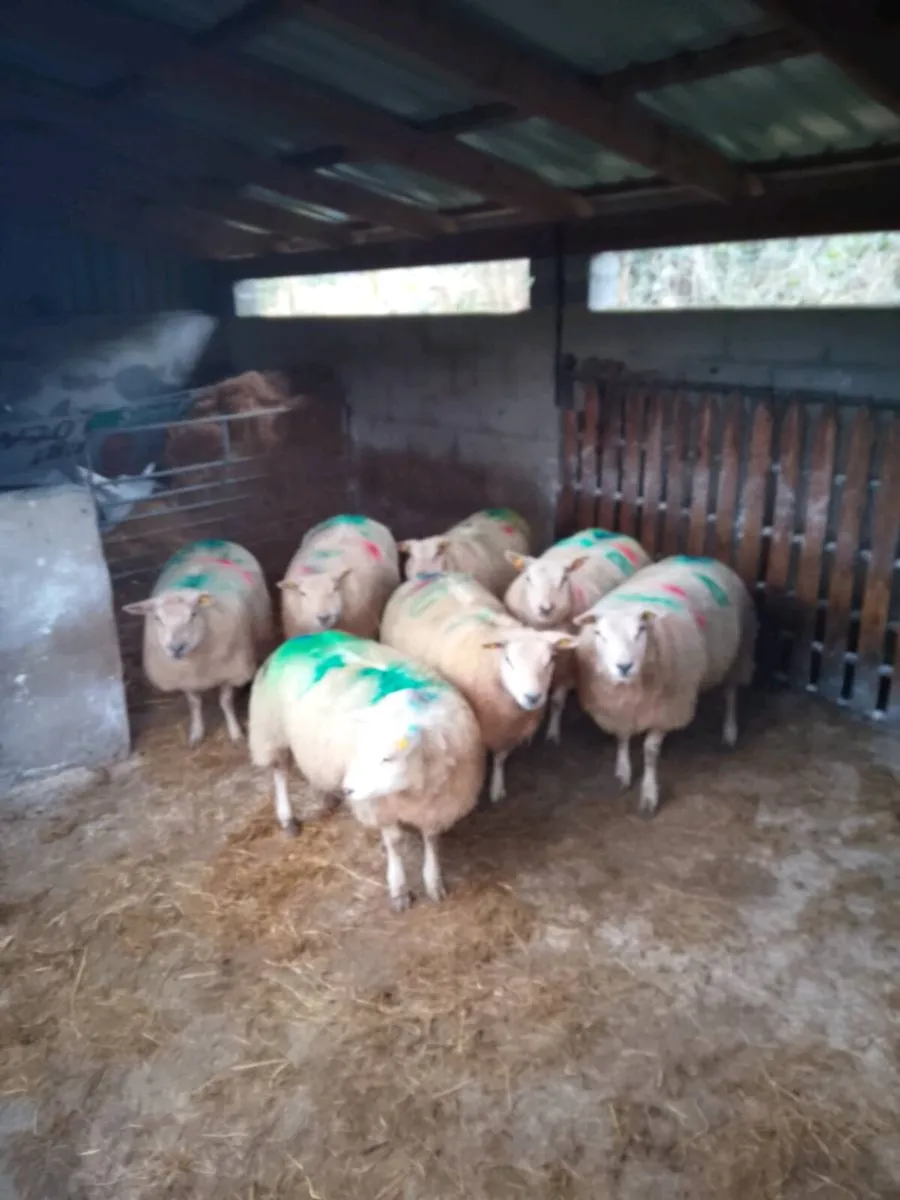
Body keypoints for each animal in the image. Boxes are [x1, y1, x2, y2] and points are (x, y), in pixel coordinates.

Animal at [124, 537, 273, 746]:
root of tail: (212, 539)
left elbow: (225, 702)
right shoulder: (186, 678)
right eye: (157, 618)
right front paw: (196, 732)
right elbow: (194, 704)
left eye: (193, 614)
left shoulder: (229, 672)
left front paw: (235, 732)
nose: (176, 648)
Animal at [248, 631, 485, 911]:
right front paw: (399, 889)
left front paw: (433, 881)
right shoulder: (379, 806)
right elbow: (394, 842)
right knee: (280, 773)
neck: (413, 790)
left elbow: (432, 839)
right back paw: (288, 818)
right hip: (271, 731)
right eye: (360, 749)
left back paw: (326, 797)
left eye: (388, 758)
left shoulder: (438, 805)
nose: (348, 789)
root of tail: (302, 637)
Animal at [381, 572, 575, 803]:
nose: (533, 697)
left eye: (551, 659)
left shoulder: (506, 729)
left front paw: (497, 786)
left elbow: (500, 758)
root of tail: (429, 574)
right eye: (508, 660)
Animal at [504, 528, 650, 743]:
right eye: (528, 579)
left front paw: (552, 733)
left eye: (564, 579)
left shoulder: (569, 666)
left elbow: (557, 701)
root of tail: (610, 531)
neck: (545, 626)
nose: (545, 608)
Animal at [573, 555, 756, 817]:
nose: (624, 666)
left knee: (731, 694)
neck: (631, 689)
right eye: (599, 633)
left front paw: (649, 795)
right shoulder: (617, 708)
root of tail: (705, 557)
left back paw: (729, 732)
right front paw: (622, 773)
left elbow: (650, 751)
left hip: (740, 652)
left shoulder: (668, 709)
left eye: (641, 630)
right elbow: (622, 737)